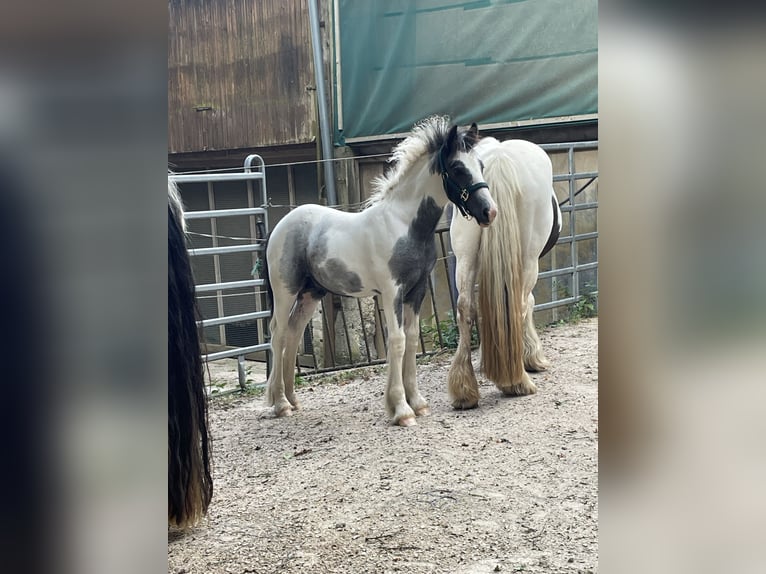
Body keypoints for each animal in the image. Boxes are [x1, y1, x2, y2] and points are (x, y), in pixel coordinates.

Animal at [268, 116, 500, 428]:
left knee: (293, 332)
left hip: (310, 293)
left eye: (480, 165)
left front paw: (417, 404)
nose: (489, 212)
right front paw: (402, 410)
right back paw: (280, 404)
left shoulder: (417, 290)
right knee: (278, 333)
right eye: (457, 168)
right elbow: (397, 341)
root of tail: (283, 223)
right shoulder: (392, 291)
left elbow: (411, 339)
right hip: (286, 290)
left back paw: (293, 401)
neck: (404, 225)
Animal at [450, 139, 564, 410]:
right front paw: (533, 357)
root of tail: (500, 157)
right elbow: (530, 302)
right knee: (519, 304)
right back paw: (517, 382)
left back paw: (464, 390)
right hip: (528, 258)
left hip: (465, 255)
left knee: (465, 308)